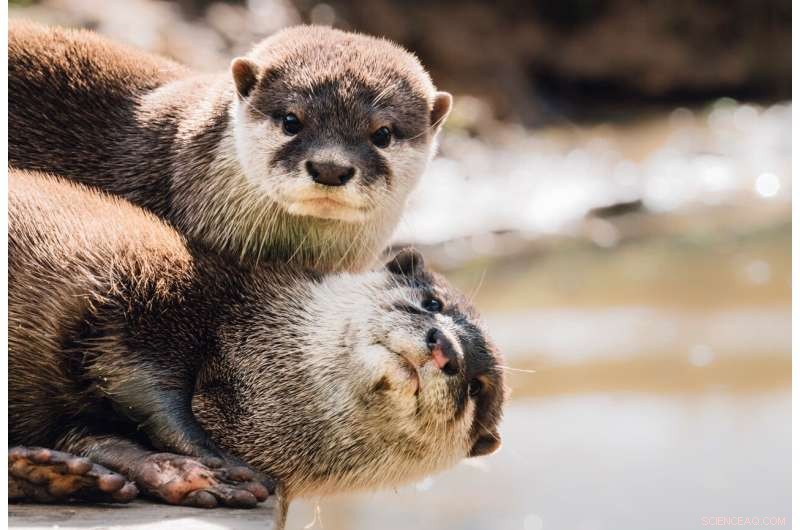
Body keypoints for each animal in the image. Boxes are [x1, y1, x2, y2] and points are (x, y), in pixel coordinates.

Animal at [9, 170, 504, 510]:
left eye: (477, 387)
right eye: (433, 302)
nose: (445, 349)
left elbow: (92, 433)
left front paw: (172, 472)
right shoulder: (149, 293)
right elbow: (141, 375)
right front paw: (215, 460)